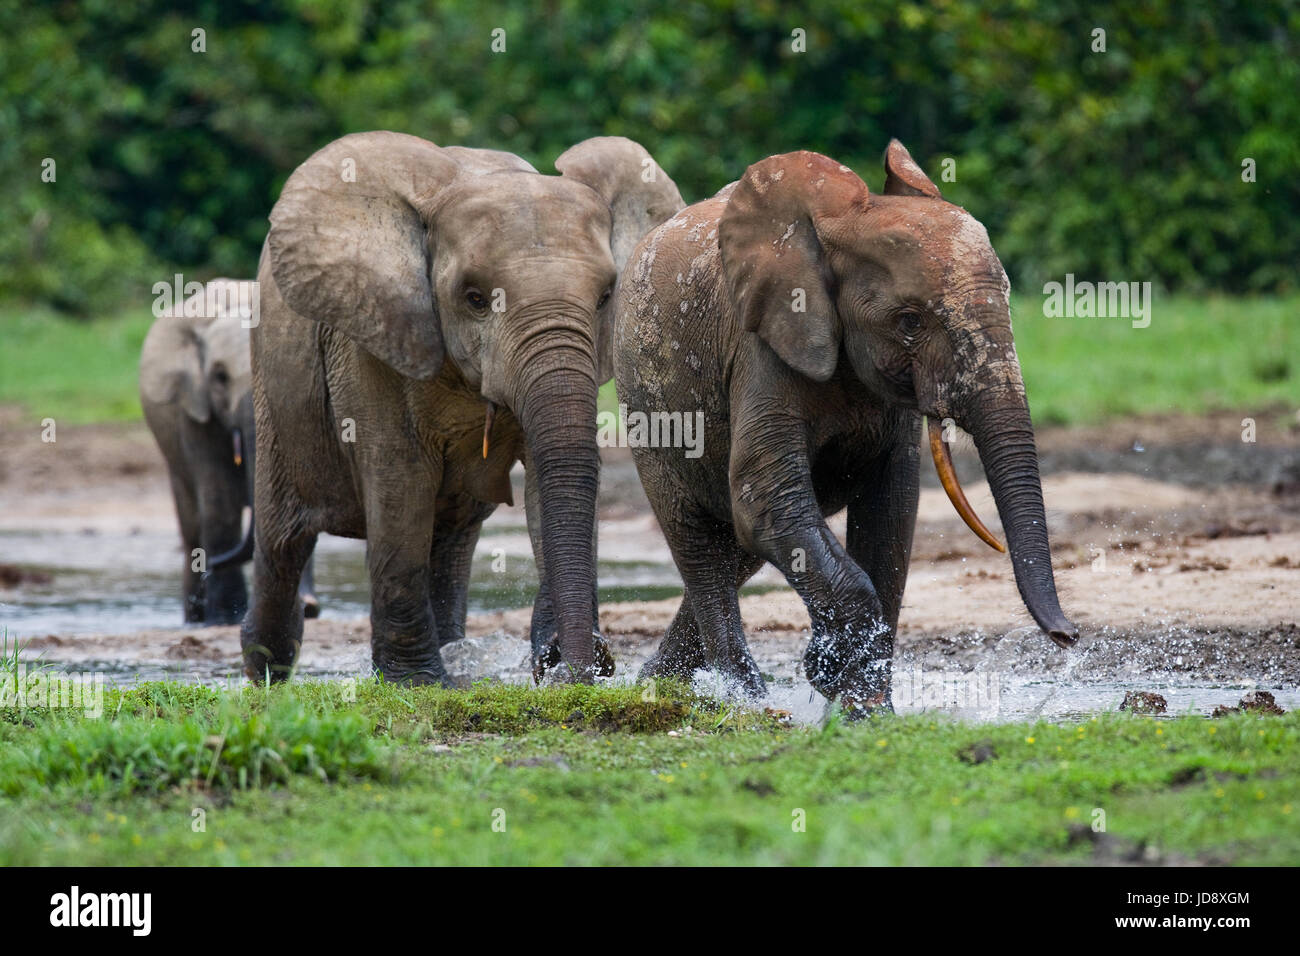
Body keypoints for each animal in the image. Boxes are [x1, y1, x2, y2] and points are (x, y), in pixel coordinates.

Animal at [140, 278, 319, 629]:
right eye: (220, 377)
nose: (213, 565)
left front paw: (304, 608)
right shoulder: (194, 408)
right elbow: (219, 500)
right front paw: (226, 617)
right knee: (192, 526)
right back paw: (197, 617)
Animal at [245, 130, 691, 686]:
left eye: (607, 296)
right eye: (475, 298)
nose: (589, 666)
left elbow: (548, 479)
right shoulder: (374, 339)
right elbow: (400, 485)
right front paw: (415, 684)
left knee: (450, 543)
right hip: (272, 390)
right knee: (282, 541)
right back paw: (266, 673)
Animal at [613, 140, 1081, 712]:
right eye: (909, 322)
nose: (1068, 636)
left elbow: (890, 510)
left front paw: (866, 708)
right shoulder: (762, 344)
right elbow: (764, 499)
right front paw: (834, 676)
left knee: (736, 548)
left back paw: (660, 682)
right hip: (646, 407)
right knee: (701, 544)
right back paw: (742, 699)